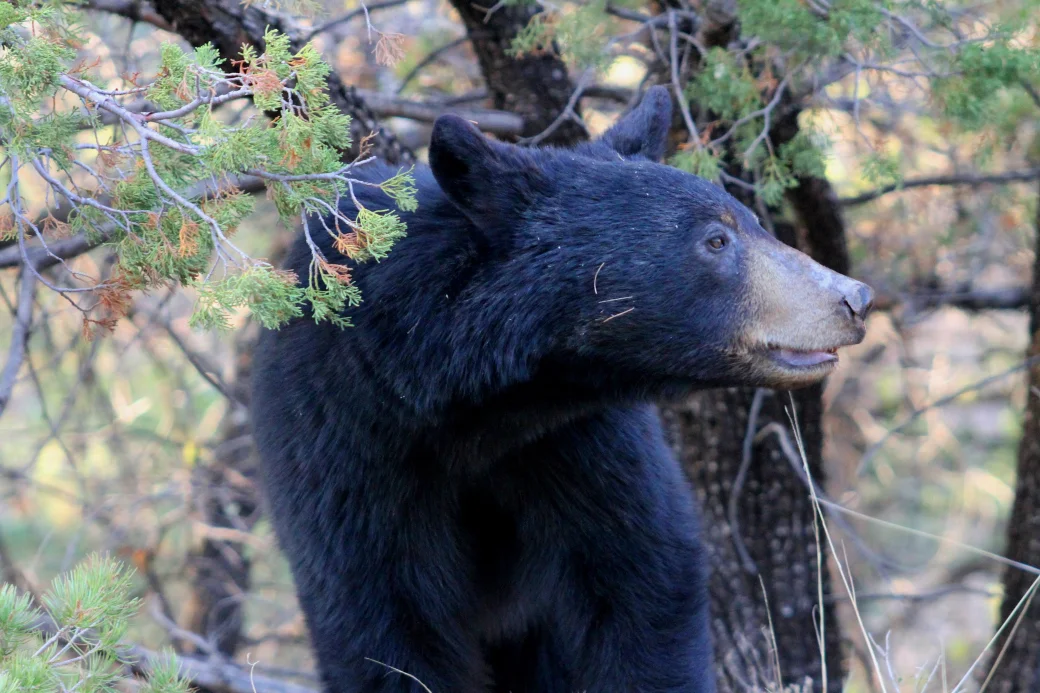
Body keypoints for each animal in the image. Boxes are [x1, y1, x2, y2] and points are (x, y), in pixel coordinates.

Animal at [250, 86, 873, 693]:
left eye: (753, 221)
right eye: (716, 240)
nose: (854, 298)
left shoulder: (582, 439)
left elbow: (645, 585)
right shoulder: (348, 451)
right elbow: (385, 628)